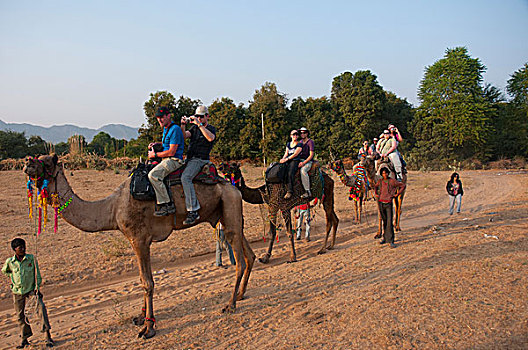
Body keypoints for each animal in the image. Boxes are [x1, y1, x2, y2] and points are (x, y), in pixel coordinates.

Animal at [23, 154, 255, 340]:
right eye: (37, 158)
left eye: (45, 162)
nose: (27, 164)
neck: (112, 208)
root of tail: (233, 187)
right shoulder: (136, 240)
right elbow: (143, 280)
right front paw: (141, 317)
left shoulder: (140, 239)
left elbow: (147, 282)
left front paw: (148, 327)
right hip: (223, 212)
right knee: (248, 252)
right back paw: (240, 294)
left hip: (229, 204)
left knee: (240, 259)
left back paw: (230, 304)